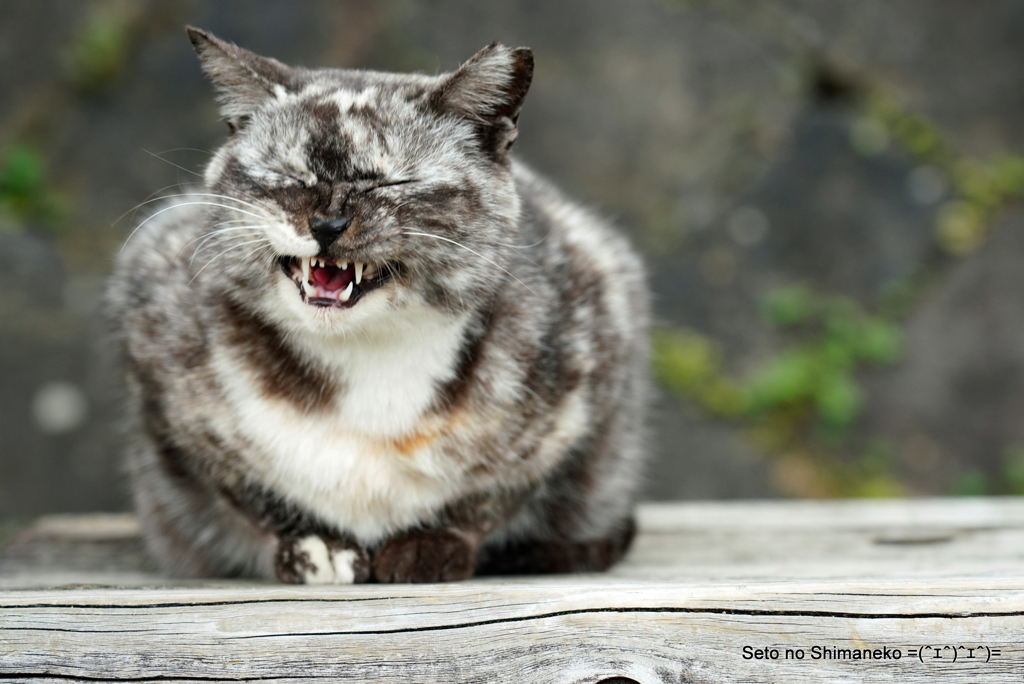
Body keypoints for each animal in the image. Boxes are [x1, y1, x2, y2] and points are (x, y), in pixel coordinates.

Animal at [105, 26, 647, 581]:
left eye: (391, 181)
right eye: (292, 176)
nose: (327, 225)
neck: (366, 358)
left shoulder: (583, 376)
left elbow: (492, 494)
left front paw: (431, 543)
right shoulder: (168, 388)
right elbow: (252, 492)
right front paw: (316, 546)